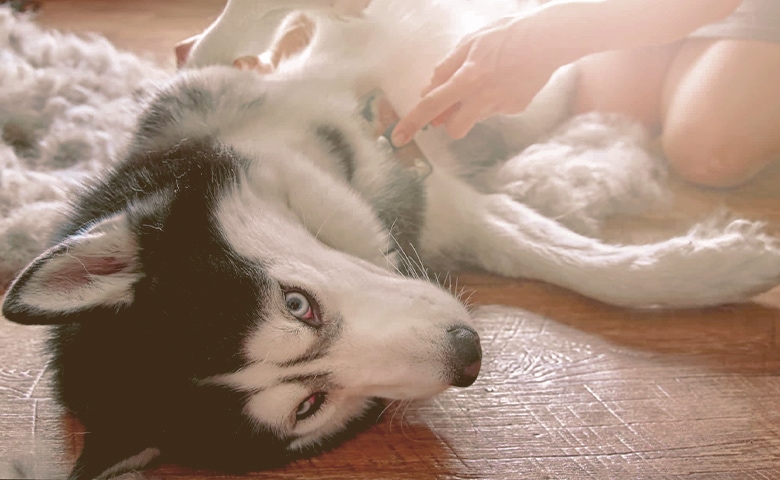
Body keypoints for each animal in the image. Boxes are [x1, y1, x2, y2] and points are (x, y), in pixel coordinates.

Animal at [1, 0, 780, 480]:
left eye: (296, 303)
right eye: (309, 406)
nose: (467, 355)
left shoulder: (218, 83)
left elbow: (233, 33)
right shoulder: (441, 206)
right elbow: (556, 253)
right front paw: (727, 266)